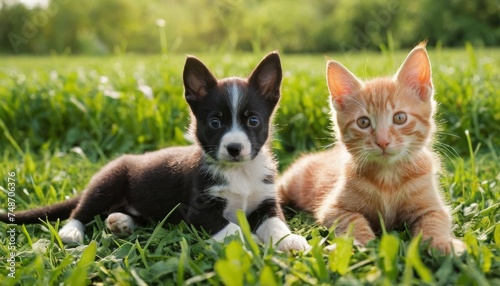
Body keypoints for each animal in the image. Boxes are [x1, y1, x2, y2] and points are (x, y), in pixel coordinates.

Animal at [1, 52, 308, 251]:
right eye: (215, 122)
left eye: (253, 120)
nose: (234, 148)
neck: (240, 172)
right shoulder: (198, 210)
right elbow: (231, 228)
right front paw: (251, 242)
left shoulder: (266, 201)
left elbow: (276, 222)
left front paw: (290, 240)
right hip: (107, 181)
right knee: (81, 209)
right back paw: (72, 231)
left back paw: (121, 222)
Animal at [280, 43, 466, 254]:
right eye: (363, 122)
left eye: (399, 118)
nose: (382, 141)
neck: (388, 178)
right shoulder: (333, 209)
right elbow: (354, 222)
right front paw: (363, 245)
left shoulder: (433, 207)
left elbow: (435, 222)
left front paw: (443, 243)